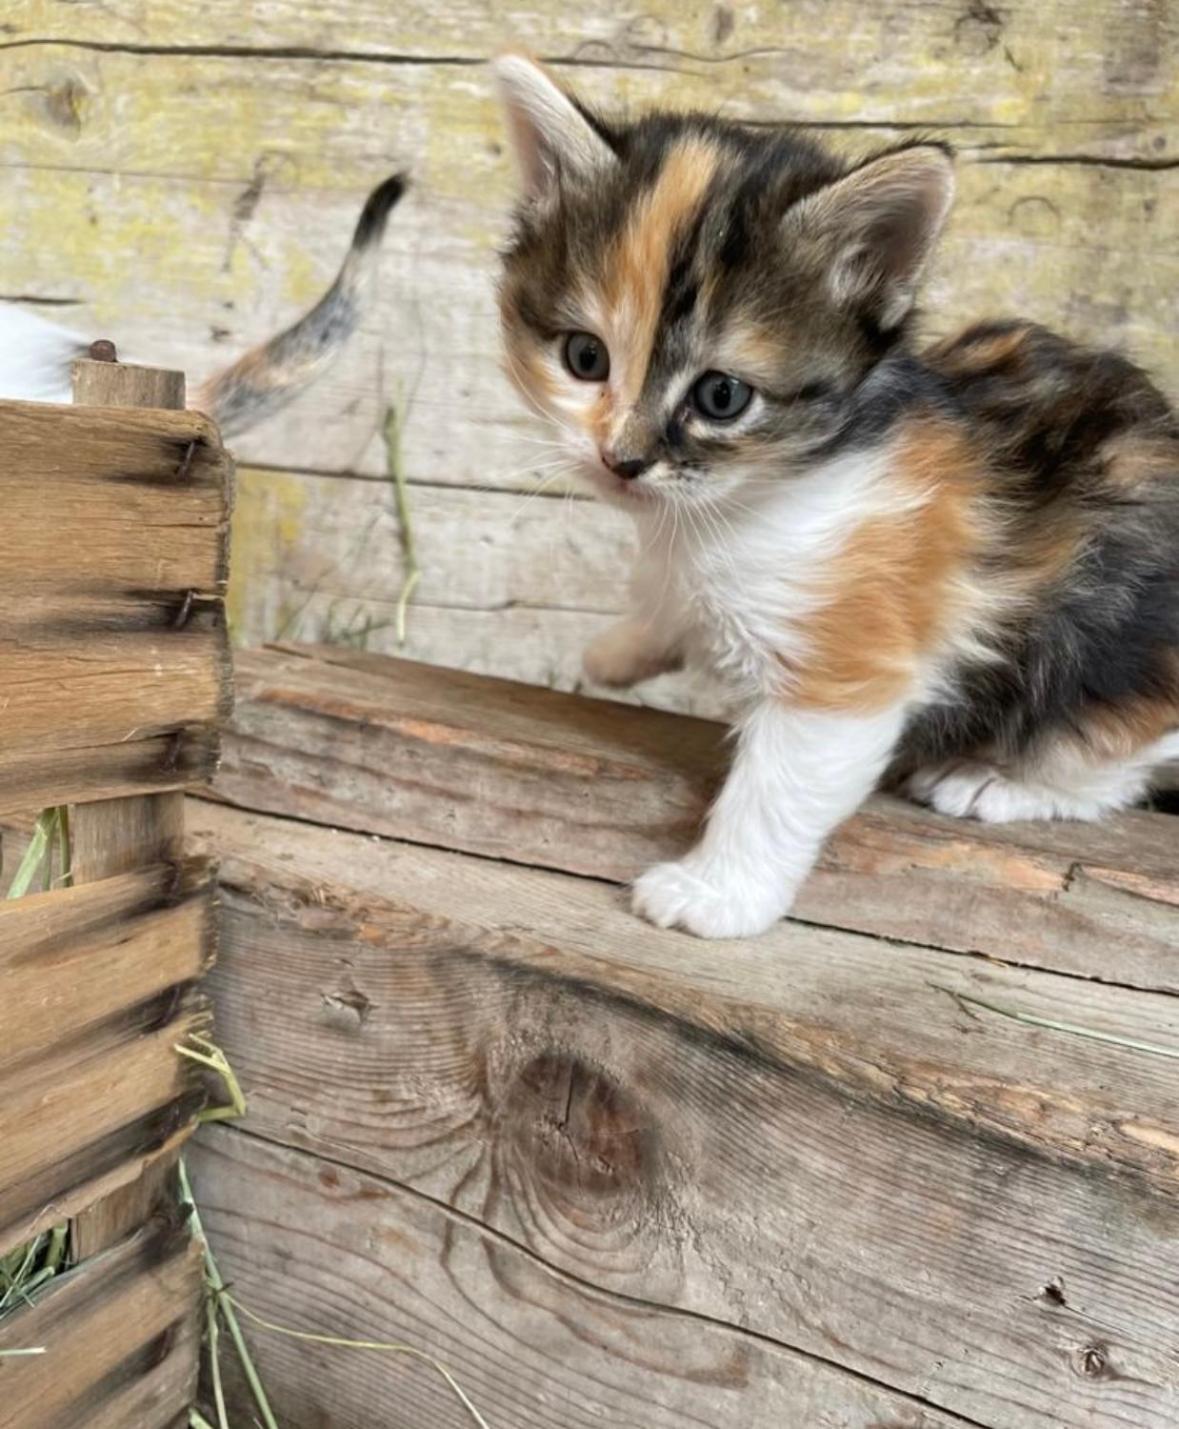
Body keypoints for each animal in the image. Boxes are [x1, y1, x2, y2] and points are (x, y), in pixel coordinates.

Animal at [488, 55, 1177, 943]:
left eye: (720, 397)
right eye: (583, 358)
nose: (622, 460)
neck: (758, 495)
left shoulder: (850, 659)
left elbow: (778, 786)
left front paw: (716, 894)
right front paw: (628, 642)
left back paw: (1001, 781)